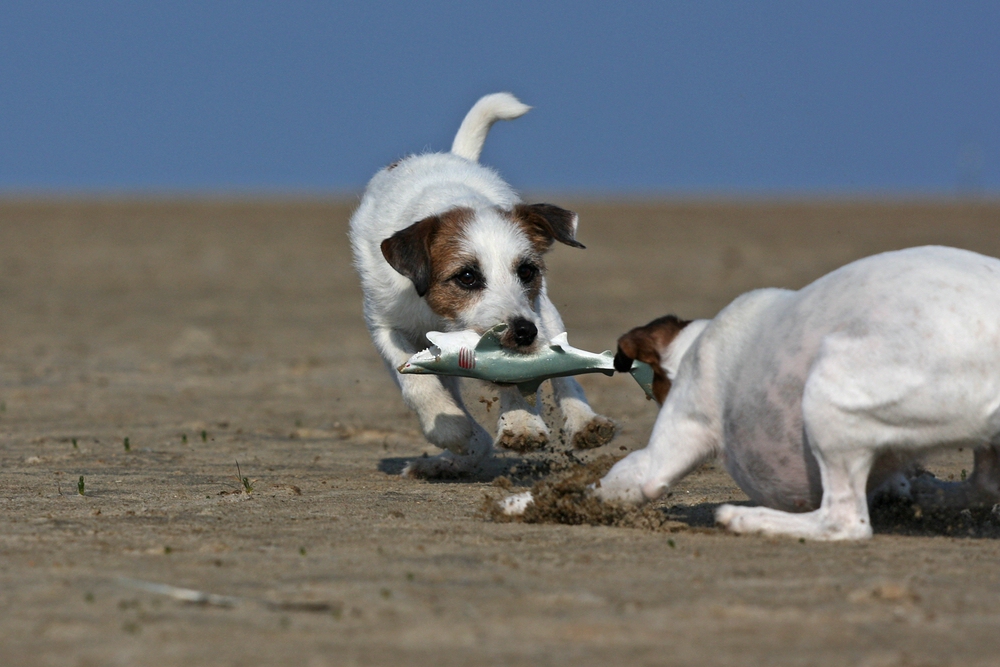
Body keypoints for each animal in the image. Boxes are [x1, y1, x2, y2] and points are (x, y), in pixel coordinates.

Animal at [352, 95, 616, 480]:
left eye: (526, 270)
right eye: (466, 277)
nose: (523, 332)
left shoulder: (532, 314)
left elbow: (528, 376)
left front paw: (521, 423)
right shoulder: (384, 323)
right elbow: (415, 380)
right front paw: (452, 429)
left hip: (545, 312)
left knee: (565, 368)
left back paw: (584, 422)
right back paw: (453, 456)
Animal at [504, 248, 1000, 540]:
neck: (695, 346)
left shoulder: (660, 457)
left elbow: (599, 486)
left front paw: (520, 503)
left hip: (829, 391)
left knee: (845, 521)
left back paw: (749, 520)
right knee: (983, 486)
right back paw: (927, 494)